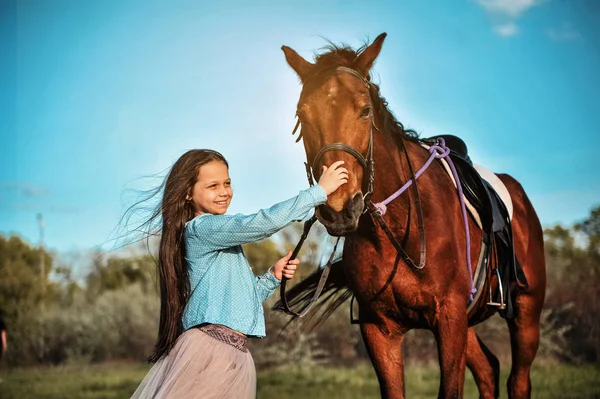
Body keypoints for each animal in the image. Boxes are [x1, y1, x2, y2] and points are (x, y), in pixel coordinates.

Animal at [274, 34, 548, 399]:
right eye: (302, 115)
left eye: (365, 110)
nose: (339, 208)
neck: (398, 229)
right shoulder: (380, 329)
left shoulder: (449, 320)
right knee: (488, 369)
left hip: (526, 314)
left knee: (518, 381)